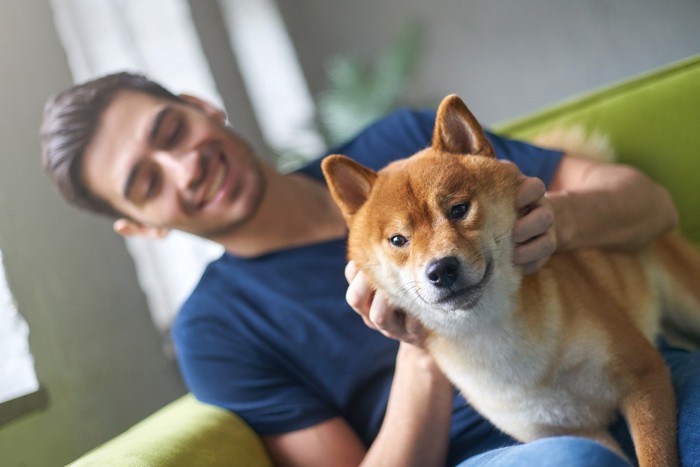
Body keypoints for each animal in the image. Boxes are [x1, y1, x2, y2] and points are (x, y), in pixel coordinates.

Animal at [322, 95, 700, 467]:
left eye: (459, 209)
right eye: (398, 240)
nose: (441, 269)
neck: (495, 336)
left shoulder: (644, 376)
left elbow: (655, 456)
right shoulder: (569, 432)